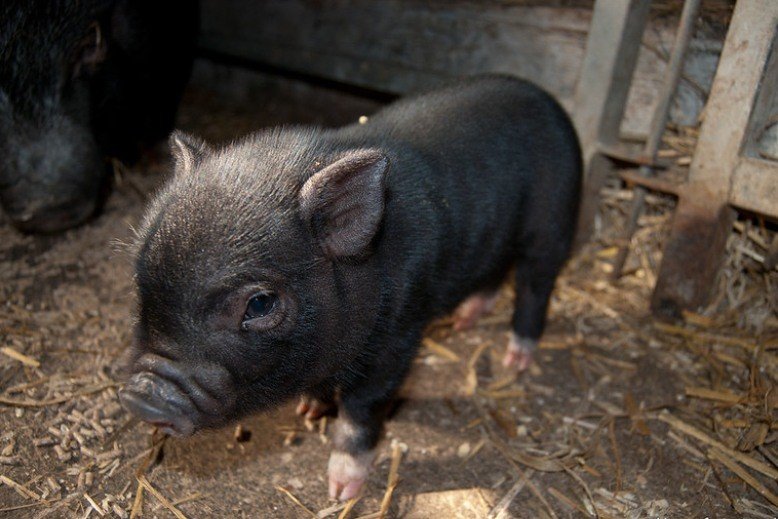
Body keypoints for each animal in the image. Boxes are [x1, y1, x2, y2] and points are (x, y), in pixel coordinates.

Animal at [119, 75, 581, 500]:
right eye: (140, 282)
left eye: (261, 303)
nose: (142, 397)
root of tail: (544, 97)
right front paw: (309, 411)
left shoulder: (397, 337)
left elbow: (362, 409)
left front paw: (341, 492)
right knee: (495, 272)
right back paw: (465, 321)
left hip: (553, 224)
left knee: (535, 285)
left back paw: (515, 361)